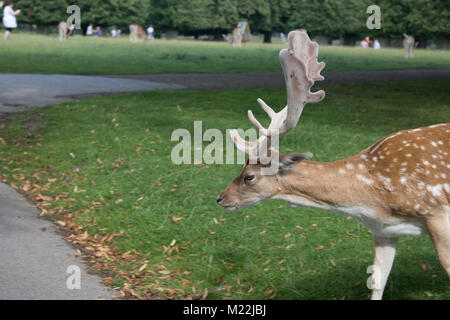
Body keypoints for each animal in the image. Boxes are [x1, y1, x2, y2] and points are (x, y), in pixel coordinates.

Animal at [216, 29, 448, 300]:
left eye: (249, 176)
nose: (221, 198)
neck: (373, 197)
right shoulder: (384, 230)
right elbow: (377, 280)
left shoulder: (436, 212)